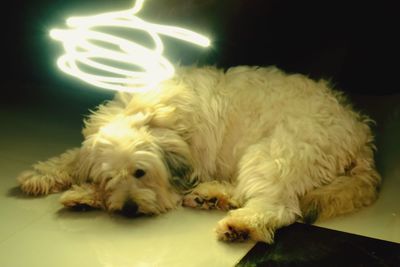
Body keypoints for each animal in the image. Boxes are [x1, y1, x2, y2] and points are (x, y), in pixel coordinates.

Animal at [17, 66, 382, 244]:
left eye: (141, 173)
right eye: (110, 177)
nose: (130, 210)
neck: (157, 117)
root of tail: (359, 131)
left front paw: (83, 195)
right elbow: (70, 159)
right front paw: (51, 180)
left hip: (272, 153)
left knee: (277, 206)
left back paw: (240, 224)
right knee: (250, 192)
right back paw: (212, 196)